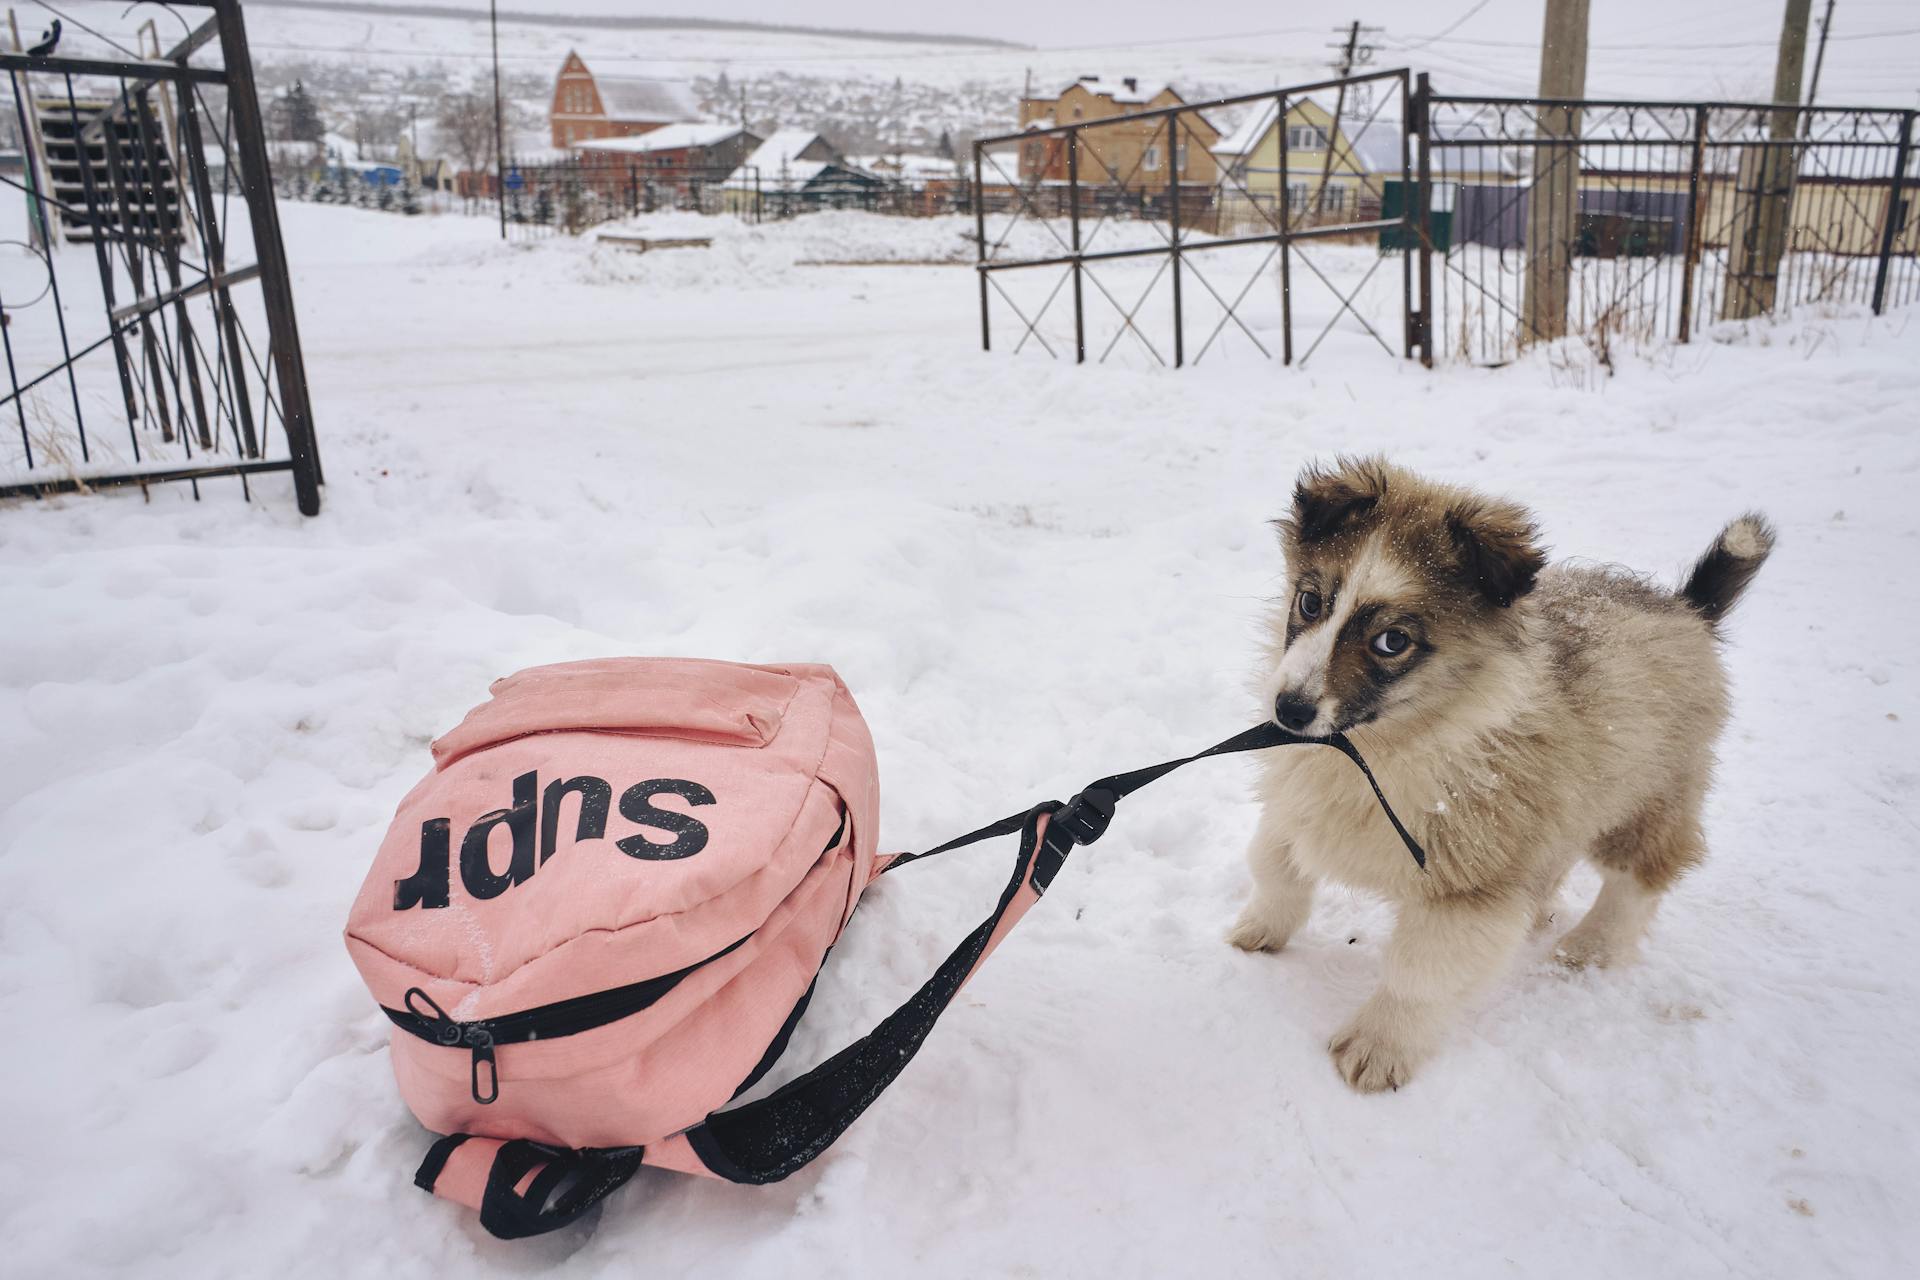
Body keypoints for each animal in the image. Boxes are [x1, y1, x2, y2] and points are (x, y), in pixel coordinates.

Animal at [1228, 458, 1766, 1090]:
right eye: (1310, 603)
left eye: (1392, 641)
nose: (1288, 712)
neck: (1379, 747)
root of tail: (1689, 609)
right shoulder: (1300, 808)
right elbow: (1275, 869)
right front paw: (1260, 931)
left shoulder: (1469, 884)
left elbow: (1419, 974)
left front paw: (1379, 1046)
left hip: (1650, 796)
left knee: (1640, 876)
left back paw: (1588, 948)